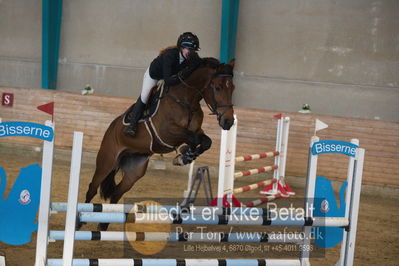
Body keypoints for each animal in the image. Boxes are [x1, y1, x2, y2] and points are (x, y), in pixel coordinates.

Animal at [83, 57, 236, 230]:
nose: (228, 121)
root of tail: (111, 128)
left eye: (233, 88)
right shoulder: (167, 133)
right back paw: (79, 221)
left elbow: (205, 141)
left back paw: (103, 226)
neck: (186, 100)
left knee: (116, 193)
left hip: (134, 171)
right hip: (106, 162)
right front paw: (184, 155)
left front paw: (186, 156)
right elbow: (193, 139)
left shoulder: (197, 130)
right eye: (217, 88)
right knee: (92, 188)